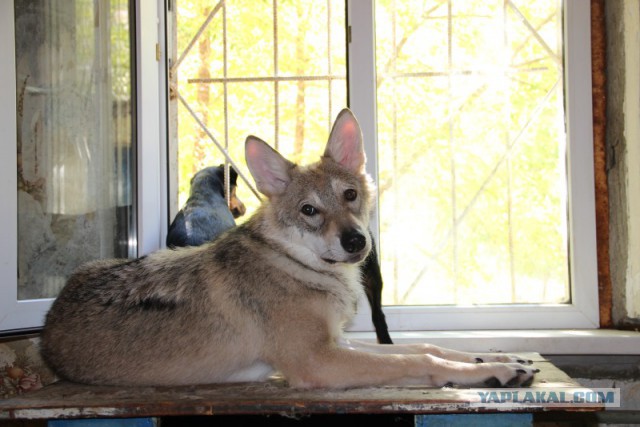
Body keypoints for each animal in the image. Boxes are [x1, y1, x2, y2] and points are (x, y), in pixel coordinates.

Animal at [40, 108, 536, 390]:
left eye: (349, 195)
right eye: (309, 210)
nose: (356, 241)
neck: (300, 266)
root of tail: (47, 323)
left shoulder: (337, 341)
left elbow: (426, 345)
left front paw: (500, 358)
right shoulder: (318, 360)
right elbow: (420, 359)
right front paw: (491, 372)